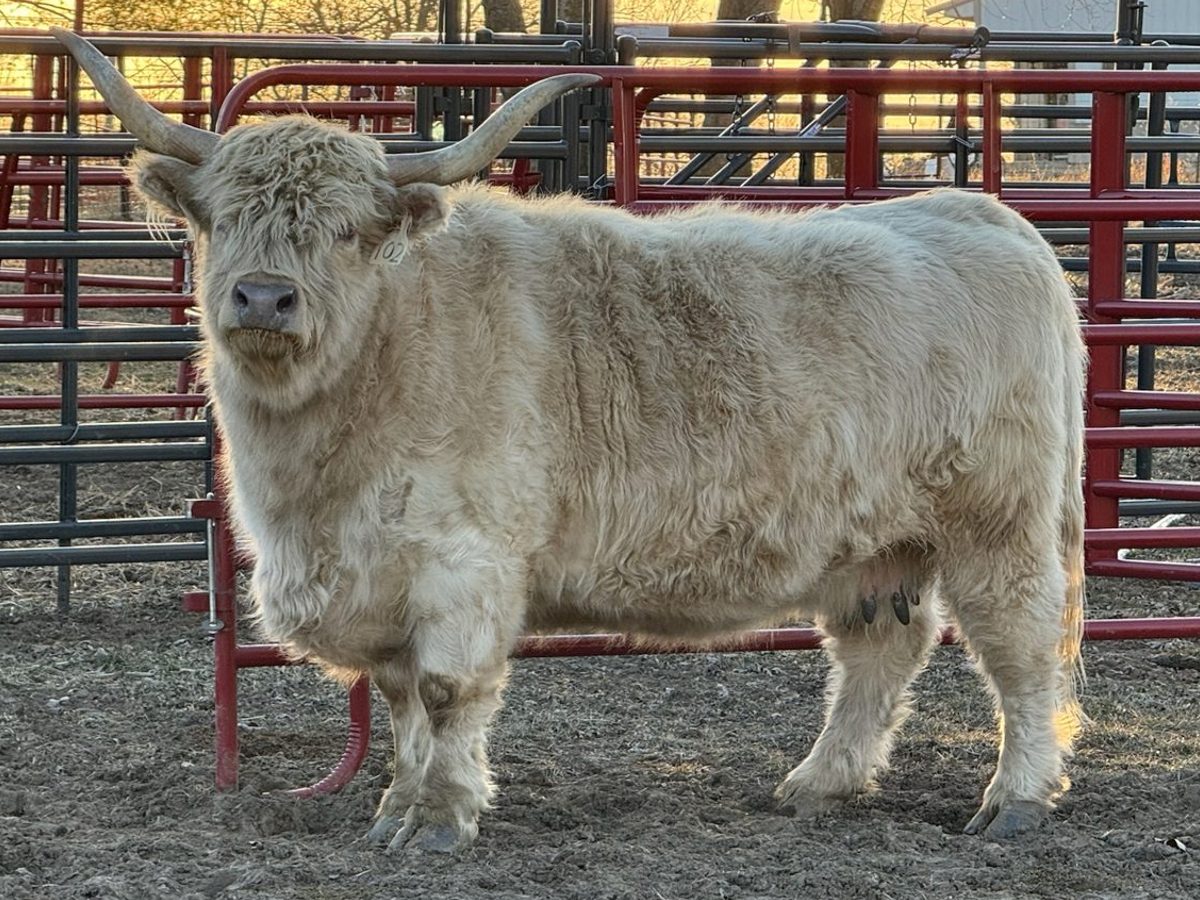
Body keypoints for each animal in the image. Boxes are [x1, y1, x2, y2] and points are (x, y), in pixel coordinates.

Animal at [56, 28, 1086, 852]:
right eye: (225, 218)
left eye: (347, 232)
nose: (264, 297)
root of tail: (975, 211)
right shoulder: (384, 582)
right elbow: (397, 701)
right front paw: (393, 809)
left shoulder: (463, 561)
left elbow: (445, 692)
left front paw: (441, 821)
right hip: (877, 539)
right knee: (882, 647)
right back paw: (817, 783)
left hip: (998, 520)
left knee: (1022, 649)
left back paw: (1015, 801)